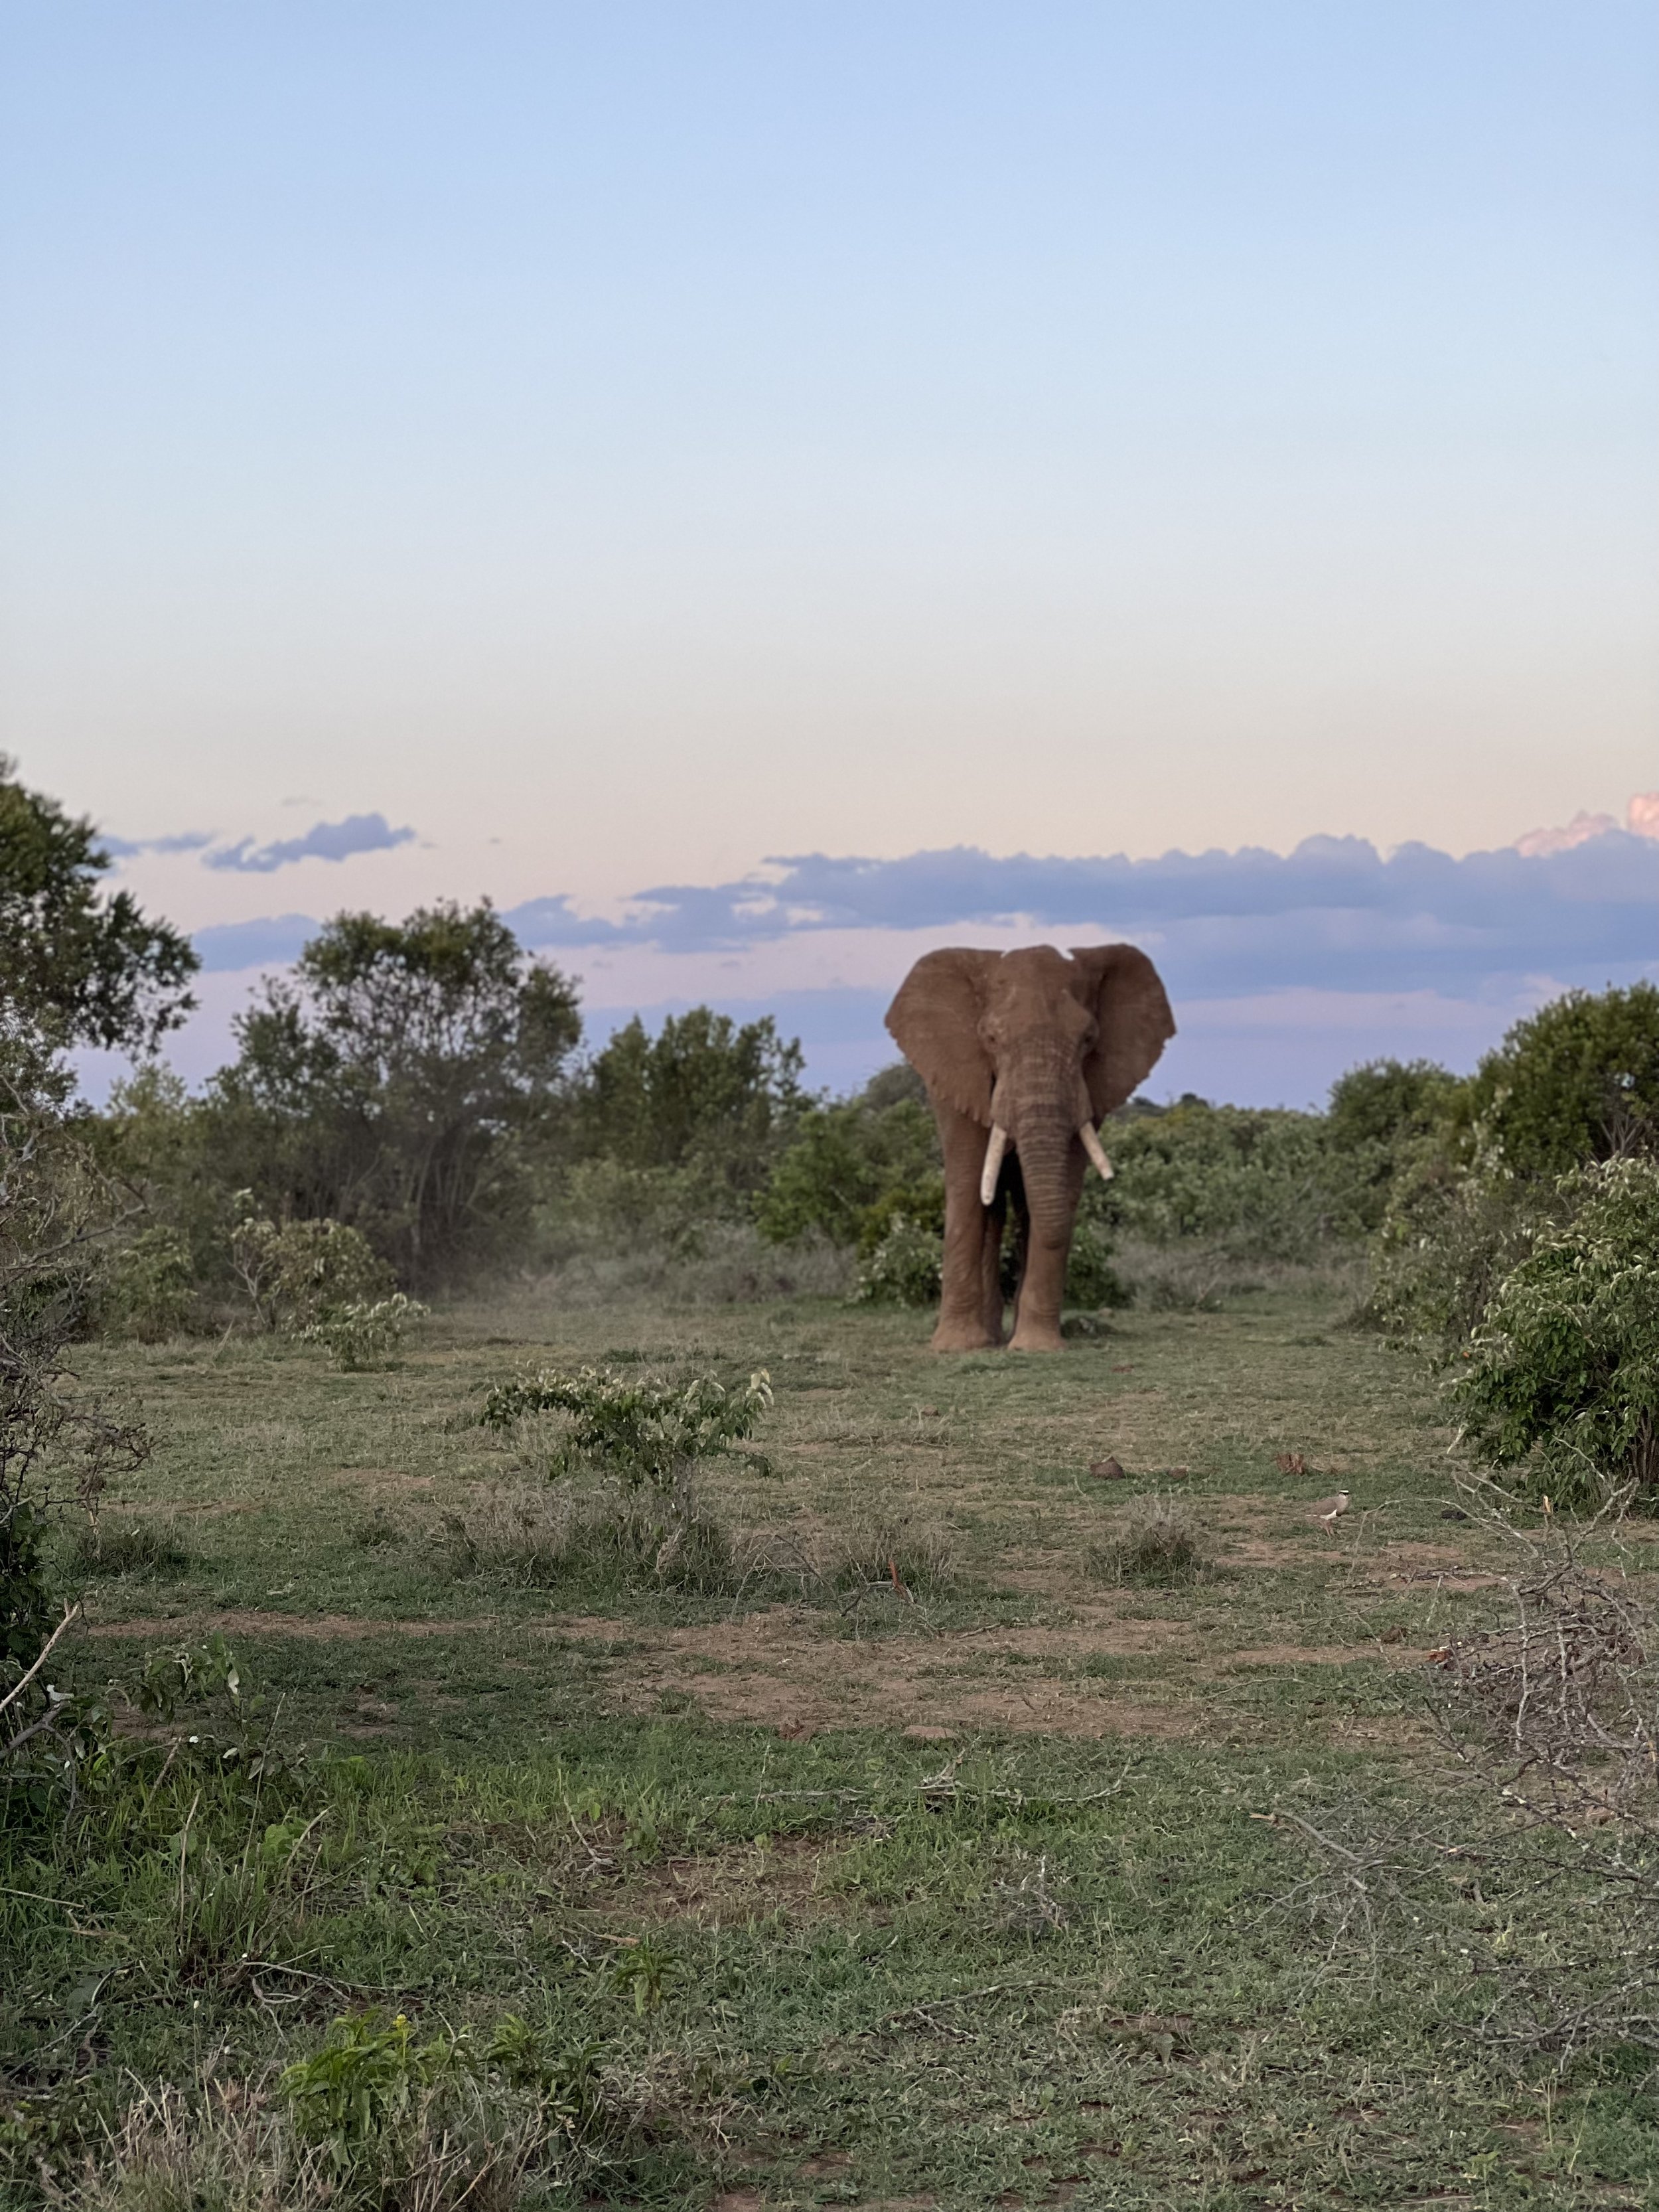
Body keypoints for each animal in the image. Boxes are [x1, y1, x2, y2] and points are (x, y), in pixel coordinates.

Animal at [884, 944, 1175, 1352]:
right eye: (991, 1039)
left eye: (1089, 1039)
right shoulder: (956, 1075)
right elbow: (968, 1185)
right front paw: (954, 1348)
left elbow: (1061, 1187)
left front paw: (1036, 1348)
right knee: (994, 1207)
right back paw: (988, 1339)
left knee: (1021, 1207)